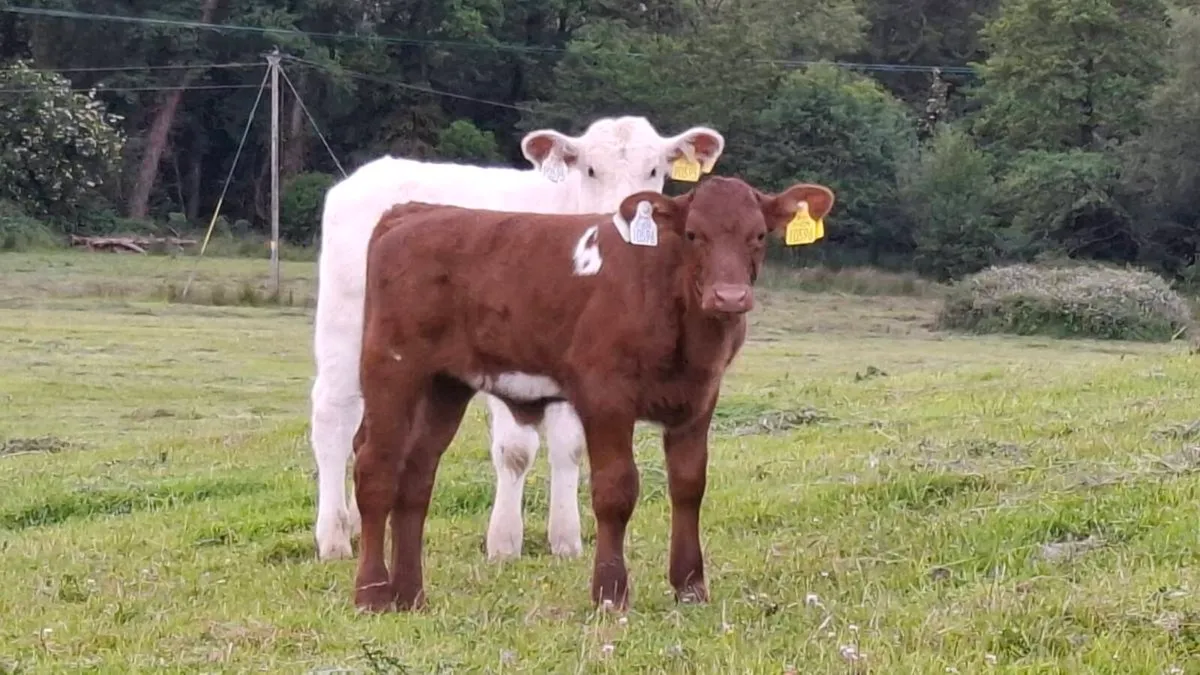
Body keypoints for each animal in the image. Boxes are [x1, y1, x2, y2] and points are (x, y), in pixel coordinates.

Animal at [310, 116, 726, 562]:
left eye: (654, 170)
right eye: (590, 169)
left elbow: (569, 446)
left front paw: (566, 539)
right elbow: (515, 449)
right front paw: (504, 543)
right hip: (345, 326)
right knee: (332, 416)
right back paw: (333, 538)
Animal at [352, 175, 835, 612]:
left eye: (758, 235)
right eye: (694, 234)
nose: (729, 297)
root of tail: (415, 211)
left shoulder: (699, 399)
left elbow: (689, 485)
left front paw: (690, 587)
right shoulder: (605, 395)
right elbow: (615, 489)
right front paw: (610, 592)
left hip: (445, 385)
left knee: (416, 478)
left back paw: (410, 595)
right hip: (390, 368)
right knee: (375, 468)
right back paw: (372, 594)